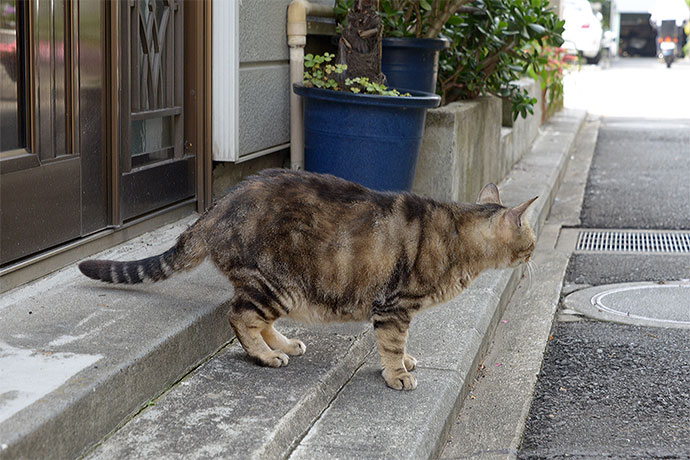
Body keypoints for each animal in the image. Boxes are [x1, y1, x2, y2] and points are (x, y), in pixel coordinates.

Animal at [78, 167, 536, 390]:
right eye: (530, 241)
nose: (535, 253)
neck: (459, 240)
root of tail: (215, 207)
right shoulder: (394, 308)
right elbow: (391, 345)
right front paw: (398, 374)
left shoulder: (395, 311)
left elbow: (399, 345)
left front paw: (404, 362)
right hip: (273, 284)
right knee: (239, 317)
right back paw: (265, 356)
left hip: (285, 289)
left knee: (258, 321)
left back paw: (282, 345)